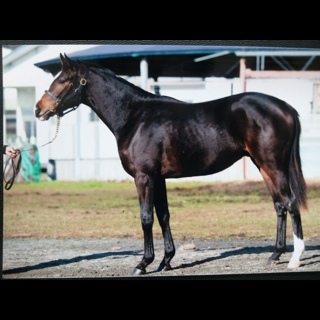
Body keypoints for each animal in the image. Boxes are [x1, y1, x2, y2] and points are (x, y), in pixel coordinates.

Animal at [34, 52, 308, 276]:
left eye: (63, 80)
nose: (39, 109)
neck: (135, 117)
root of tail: (286, 107)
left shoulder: (144, 177)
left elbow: (146, 217)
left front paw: (143, 263)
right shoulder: (159, 178)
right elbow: (163, 215)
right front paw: (166, 260)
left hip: (273, 165)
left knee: (290, 202)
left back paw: (295, 258)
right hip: (263, 165)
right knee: (279, 205)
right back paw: (275, 255)